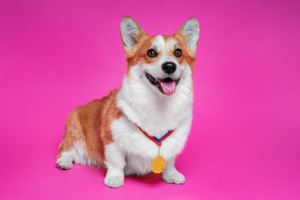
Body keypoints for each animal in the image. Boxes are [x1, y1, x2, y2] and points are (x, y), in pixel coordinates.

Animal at [57, 15, 200, 188]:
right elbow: (116, 162)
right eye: (151, 53)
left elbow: (170, 161)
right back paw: (64, 162)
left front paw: (171, 175)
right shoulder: (112, 140)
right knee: (66, 151)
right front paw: (114, 178)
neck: (159, 103)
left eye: (178, 52)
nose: (170, 66)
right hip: (74, 135)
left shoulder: (171, 144)